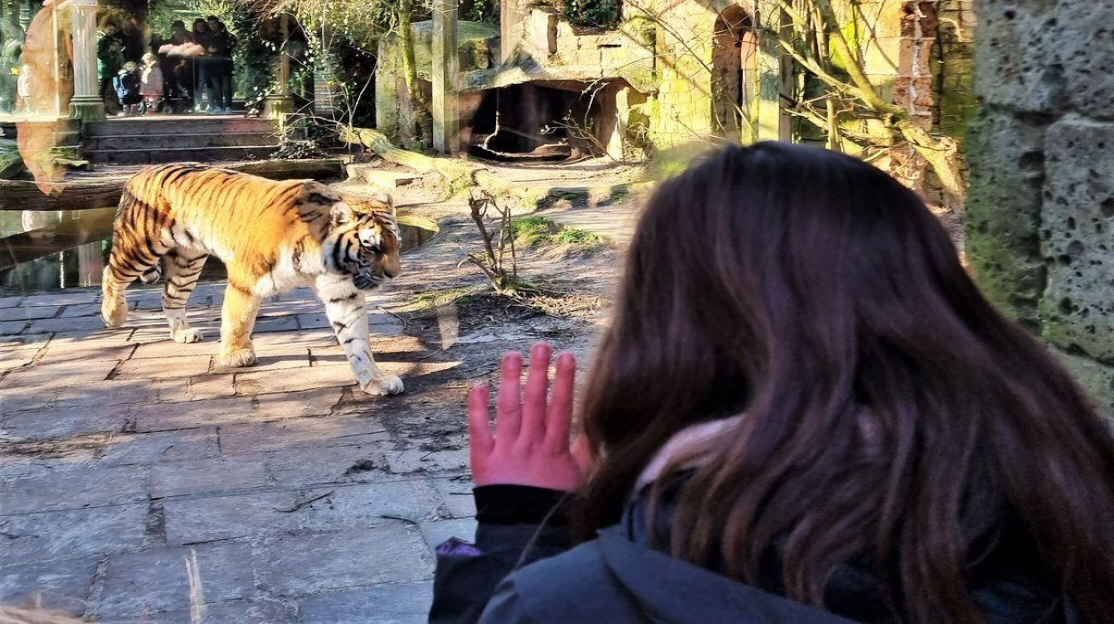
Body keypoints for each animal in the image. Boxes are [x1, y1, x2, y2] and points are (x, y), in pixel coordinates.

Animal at [100, 160, 405, 394]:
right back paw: (114, 315)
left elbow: (358, 341)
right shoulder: (245, 278)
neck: (324, 259)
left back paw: (182, 333)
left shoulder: (343, 293)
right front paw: (236, 355)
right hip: (140, 247)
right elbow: (238, 319)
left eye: (397, 245)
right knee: (110, 273)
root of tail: (140, 172)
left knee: (170, 296)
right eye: (371, 247)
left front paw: (375, 379)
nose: (394, 274)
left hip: (188, 261)